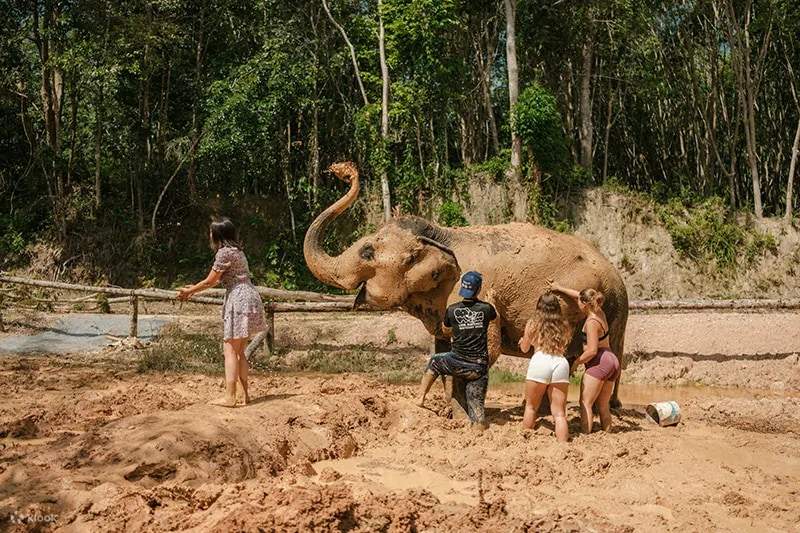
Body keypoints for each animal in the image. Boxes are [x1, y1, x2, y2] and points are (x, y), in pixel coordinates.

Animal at [304, 162, 629, 408]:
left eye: (367, 252)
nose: (342, 170)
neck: (440, 235)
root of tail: (616, 273)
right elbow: (441, 345)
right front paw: (448, 407)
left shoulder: (478, 294)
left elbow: (487, 348)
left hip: (611, 308)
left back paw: (608, 408)